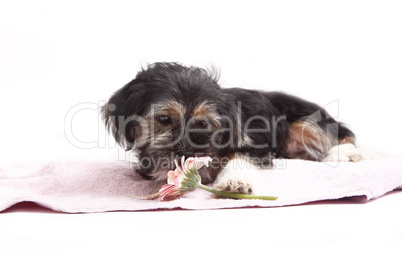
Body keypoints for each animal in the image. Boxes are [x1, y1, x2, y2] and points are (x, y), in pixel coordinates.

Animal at [101, 61, 376, 194]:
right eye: (164, 119)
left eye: (203, 123)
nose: (185, 154)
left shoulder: (255, 146)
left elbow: (239, 159)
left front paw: (235, 182)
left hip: (306, 121)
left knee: (340, 136)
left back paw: (349, 154)